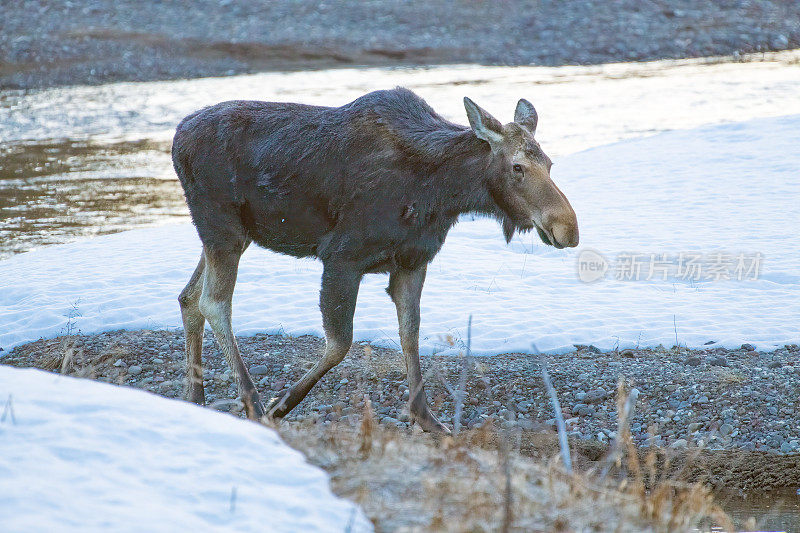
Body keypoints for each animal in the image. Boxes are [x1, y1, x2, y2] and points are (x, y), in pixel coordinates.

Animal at [172, 86, 580, 428]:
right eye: (517, 167)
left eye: (551, 164)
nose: (568, 228)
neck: (443, 192)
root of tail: (177, 139)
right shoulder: (341, 257)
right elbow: (340, 343)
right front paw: (282, 404)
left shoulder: (413, 262)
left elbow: (410, 333)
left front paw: (427, 418)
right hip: (222, 227)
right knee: (213, 302)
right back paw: (254, 403)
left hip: (228, 234)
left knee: (188, 296)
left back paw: (196, 396)